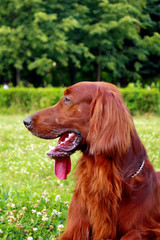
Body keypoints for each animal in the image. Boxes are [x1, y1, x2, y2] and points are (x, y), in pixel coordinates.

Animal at [23, 81, 160, 239]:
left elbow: (132, 234)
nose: (26, 121)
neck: (100, 174)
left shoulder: (153, 228)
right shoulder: (75, 229)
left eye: (67, 99)